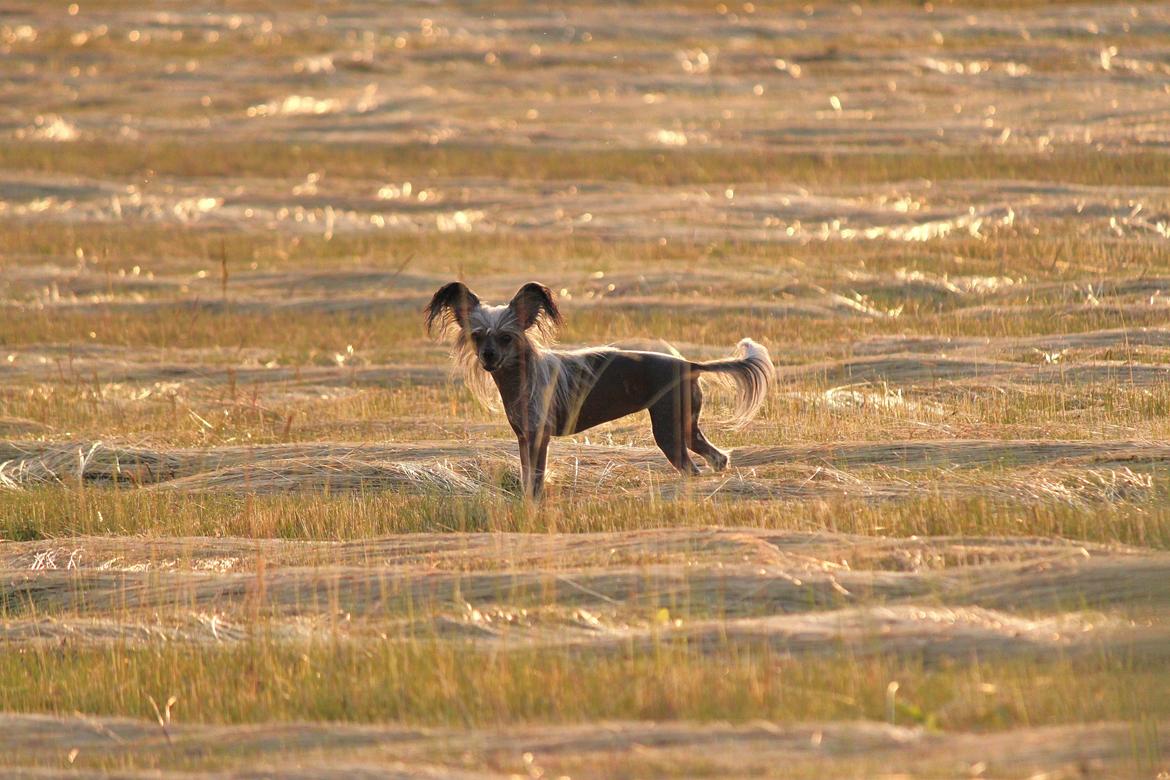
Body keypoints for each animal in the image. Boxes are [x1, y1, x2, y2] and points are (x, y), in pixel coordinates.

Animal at [425, 281, 772, 500]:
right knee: (717, 457)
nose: (488, 357)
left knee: (692, 467)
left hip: (668, 430)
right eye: (477, 336)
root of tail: (689, 364)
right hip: (686, 425)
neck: (520, 378)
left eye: (506, 337)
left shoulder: (539, 437)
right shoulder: (524, 437)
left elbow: (536, 479)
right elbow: (526, 476)